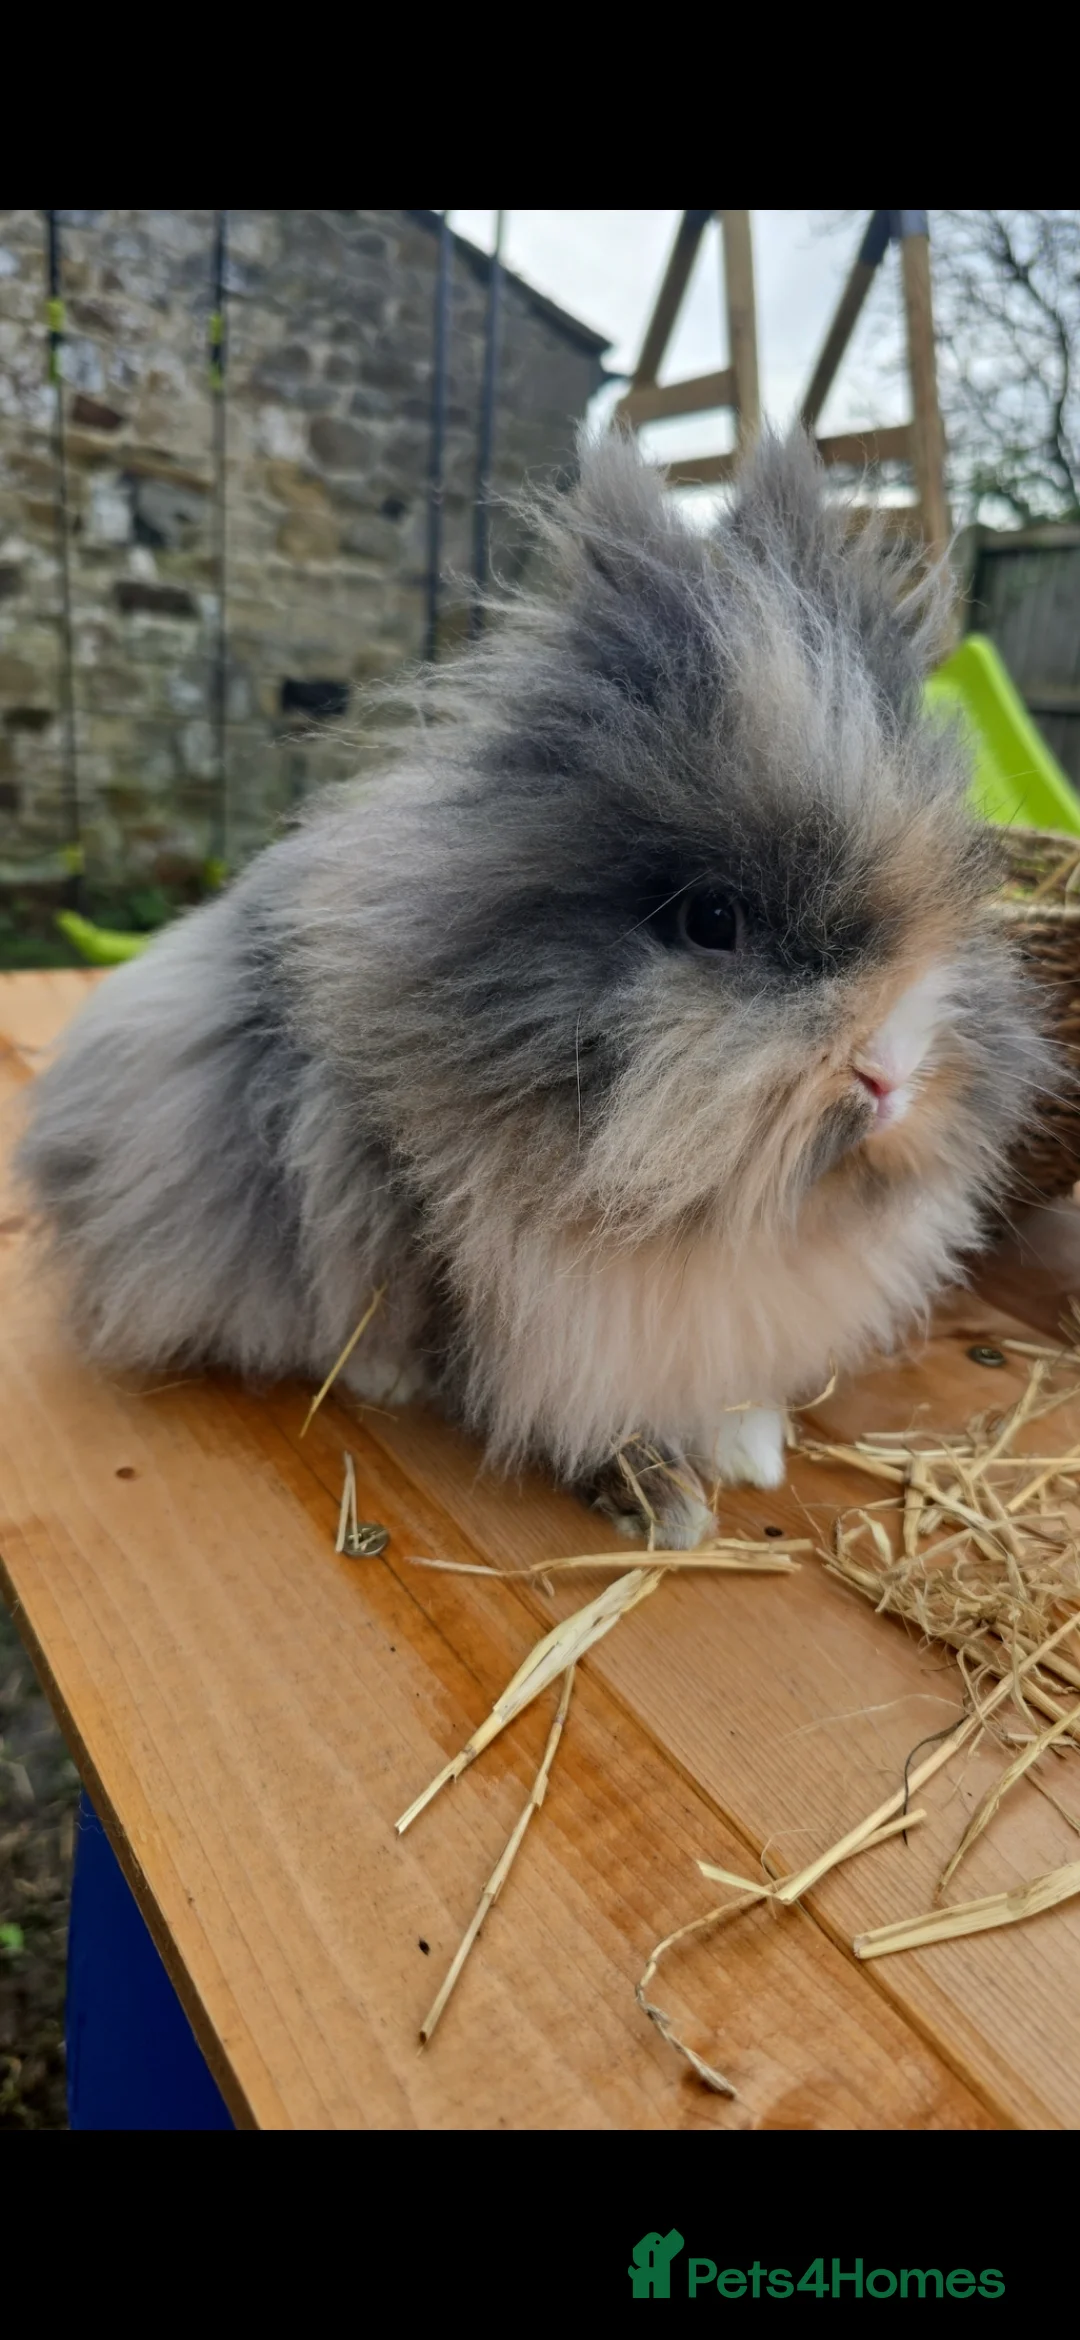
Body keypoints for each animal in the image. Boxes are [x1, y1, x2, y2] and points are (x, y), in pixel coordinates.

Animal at [16, 428, 1056, 1549]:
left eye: (962, 879)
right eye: (713, 921)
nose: (892, 1075)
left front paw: (756, 1454)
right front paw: (665, 1503)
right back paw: (384, 1379)